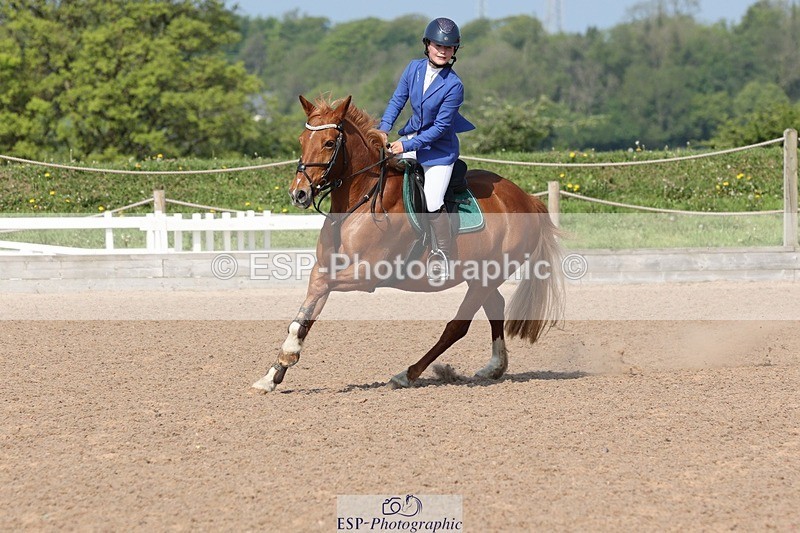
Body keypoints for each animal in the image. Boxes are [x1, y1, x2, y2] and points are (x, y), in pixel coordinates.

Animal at [252, 95, 563, 392]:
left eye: (329, 143)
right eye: (302, 141)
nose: (299, 194)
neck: (360, 198)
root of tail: (526, 198)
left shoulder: (367, 273)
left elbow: (318, 288)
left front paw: (288, 354)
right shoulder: (329, 267)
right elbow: (308, 309)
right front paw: (272, 375)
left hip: (487, 276)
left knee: (458, 326)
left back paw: (407, 374)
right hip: (481, 276)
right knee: (495, 307)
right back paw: (494, 368)